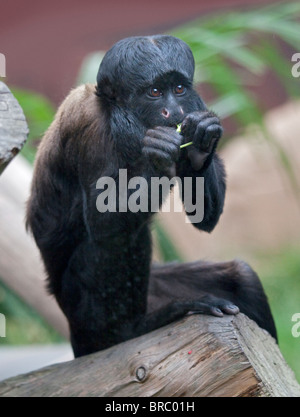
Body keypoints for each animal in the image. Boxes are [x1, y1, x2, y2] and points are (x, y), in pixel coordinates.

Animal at [26, 34, 276, 356]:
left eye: (179, 89)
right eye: (154, 92)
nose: (174, 112)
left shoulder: (196, 103)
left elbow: (205, 219)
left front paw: (199, 146)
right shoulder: (91, 129)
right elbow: (103, 225)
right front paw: (158, 154)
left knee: (243, 276)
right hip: (83, 314)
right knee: (124, 236)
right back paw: (132, 329)